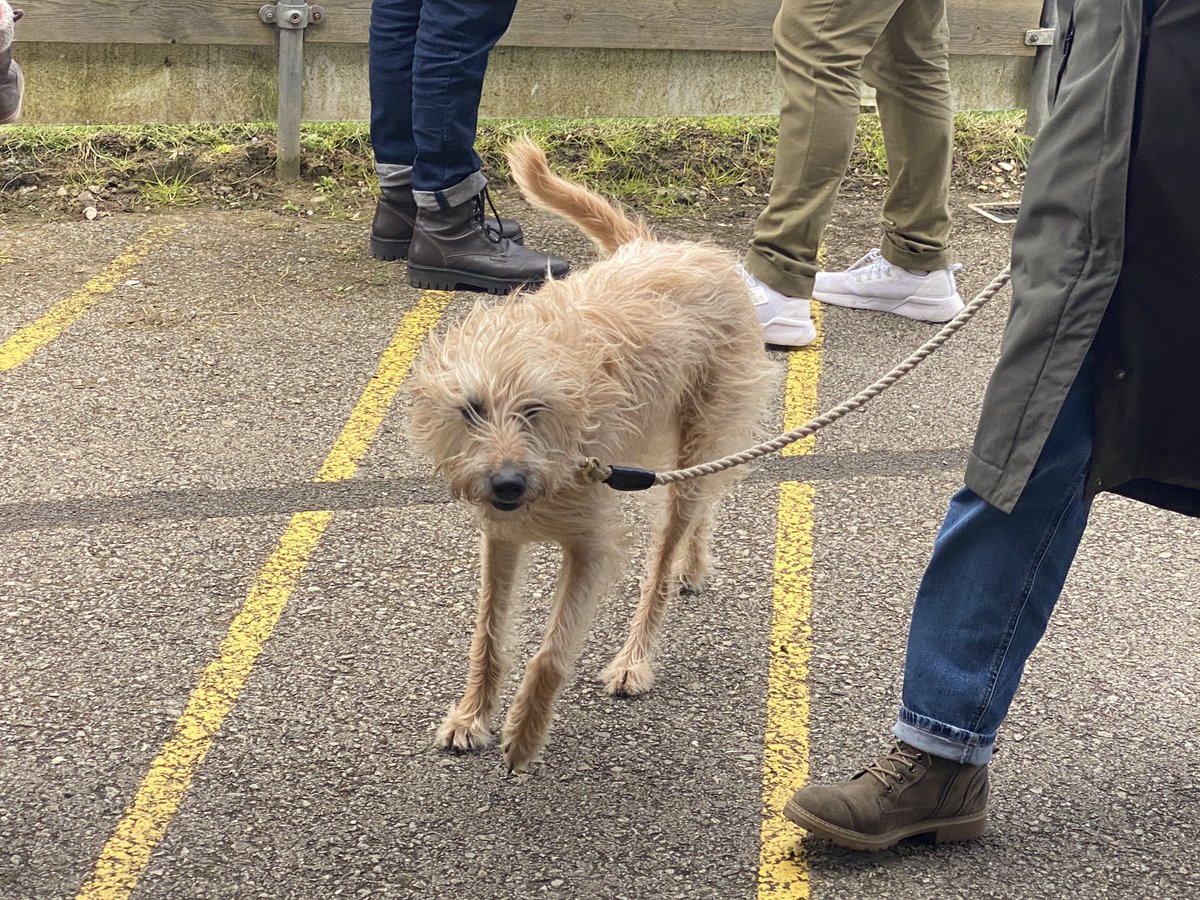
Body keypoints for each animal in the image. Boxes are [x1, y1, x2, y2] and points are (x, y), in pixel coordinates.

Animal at [408, 139, 772, 777]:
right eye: (472, 410)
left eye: (533, 410)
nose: (506, 484)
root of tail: (669, 248)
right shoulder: (502, 536)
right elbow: (489, 634)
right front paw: (473, 715)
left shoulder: (591, 547)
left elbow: (551, 652)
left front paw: (526, 732)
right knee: (705, 498)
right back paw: (695, 563)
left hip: (694, 445)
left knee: (665, 552)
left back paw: (636, 654)